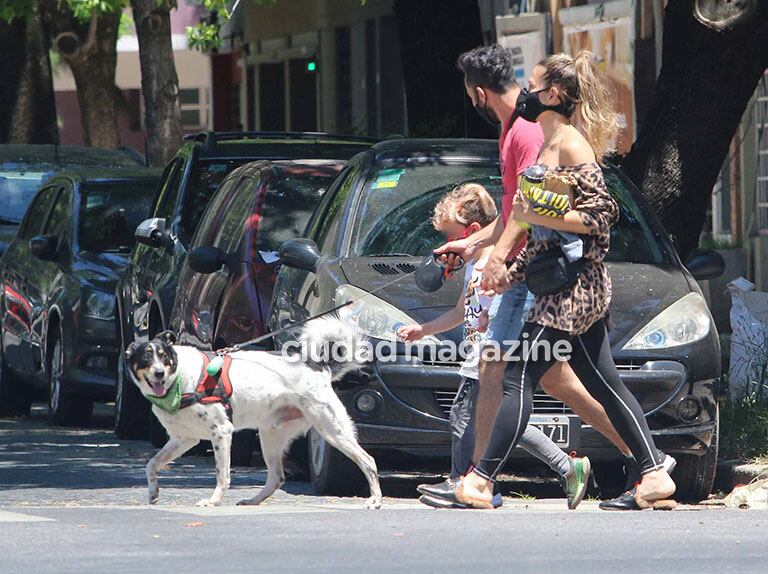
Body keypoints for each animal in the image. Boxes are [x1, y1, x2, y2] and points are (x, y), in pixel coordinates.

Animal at [125, 322, 384, 510]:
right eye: (146, 358)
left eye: (164, 356)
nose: (159, 373)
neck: (180, 380)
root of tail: (320, 368)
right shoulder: (183, 440)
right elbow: (151, 464)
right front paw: (153, 493)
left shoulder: (221, 433)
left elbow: (222, 475)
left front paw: (213, 501)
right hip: (270, 436)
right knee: (277, 477)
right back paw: (253, 501)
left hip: (332, 430)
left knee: (369, 461)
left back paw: (375, 500)